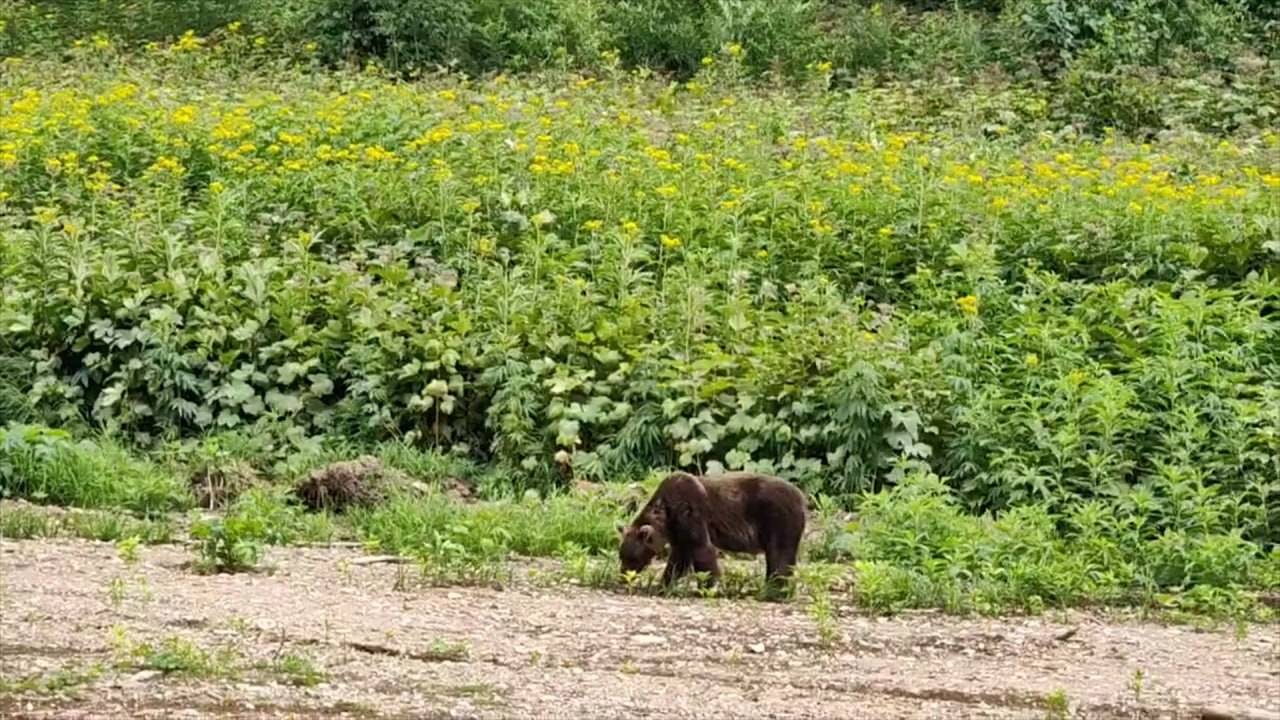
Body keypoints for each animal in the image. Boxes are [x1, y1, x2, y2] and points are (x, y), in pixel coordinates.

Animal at [619, 471, 808, 589]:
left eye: (631, 558)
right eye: (621, 556)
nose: (623, 577)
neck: (666, 516)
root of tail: (802, 497)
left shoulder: (689, 513)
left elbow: (702, 550)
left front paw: (708, 586)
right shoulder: (678, 530)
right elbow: (679, 558)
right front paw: (663, 585)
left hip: (778, 517)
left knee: (780, 554)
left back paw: (774, 590)